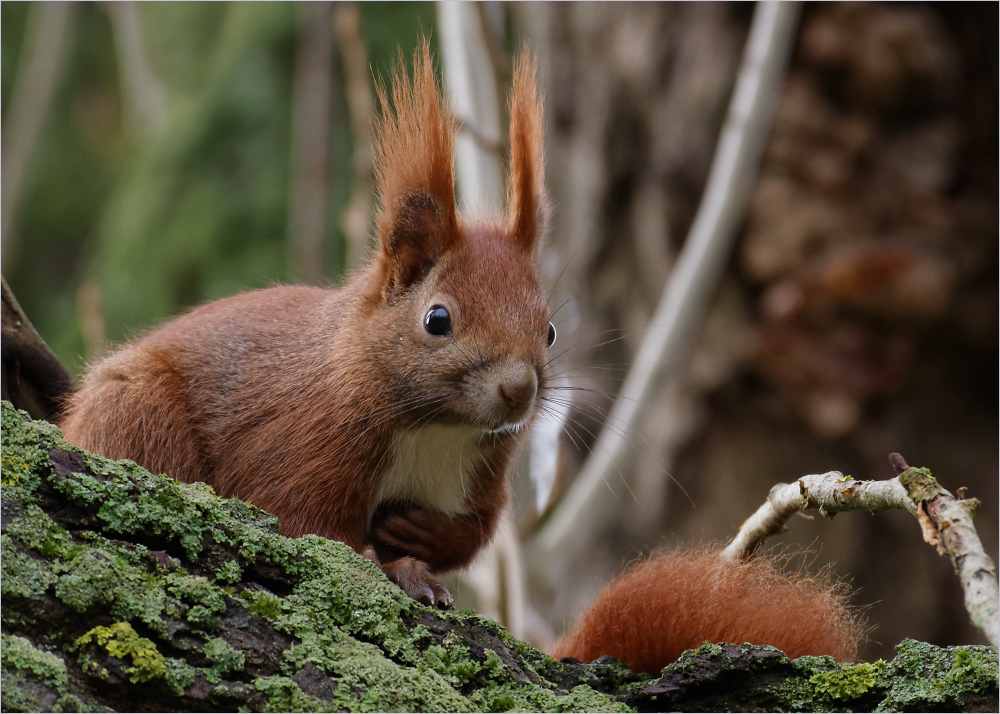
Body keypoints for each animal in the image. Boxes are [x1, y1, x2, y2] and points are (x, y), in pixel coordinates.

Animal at [60, 43, 860, 668]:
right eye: (437, 319)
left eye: (550, 331)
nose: (518, 391)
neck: (432, 427)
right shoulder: (300, 444)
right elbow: (307, 527)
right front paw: (399, 568)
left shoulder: (488, 473)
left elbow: (471, 535)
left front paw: (422, 539)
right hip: (135, 408)